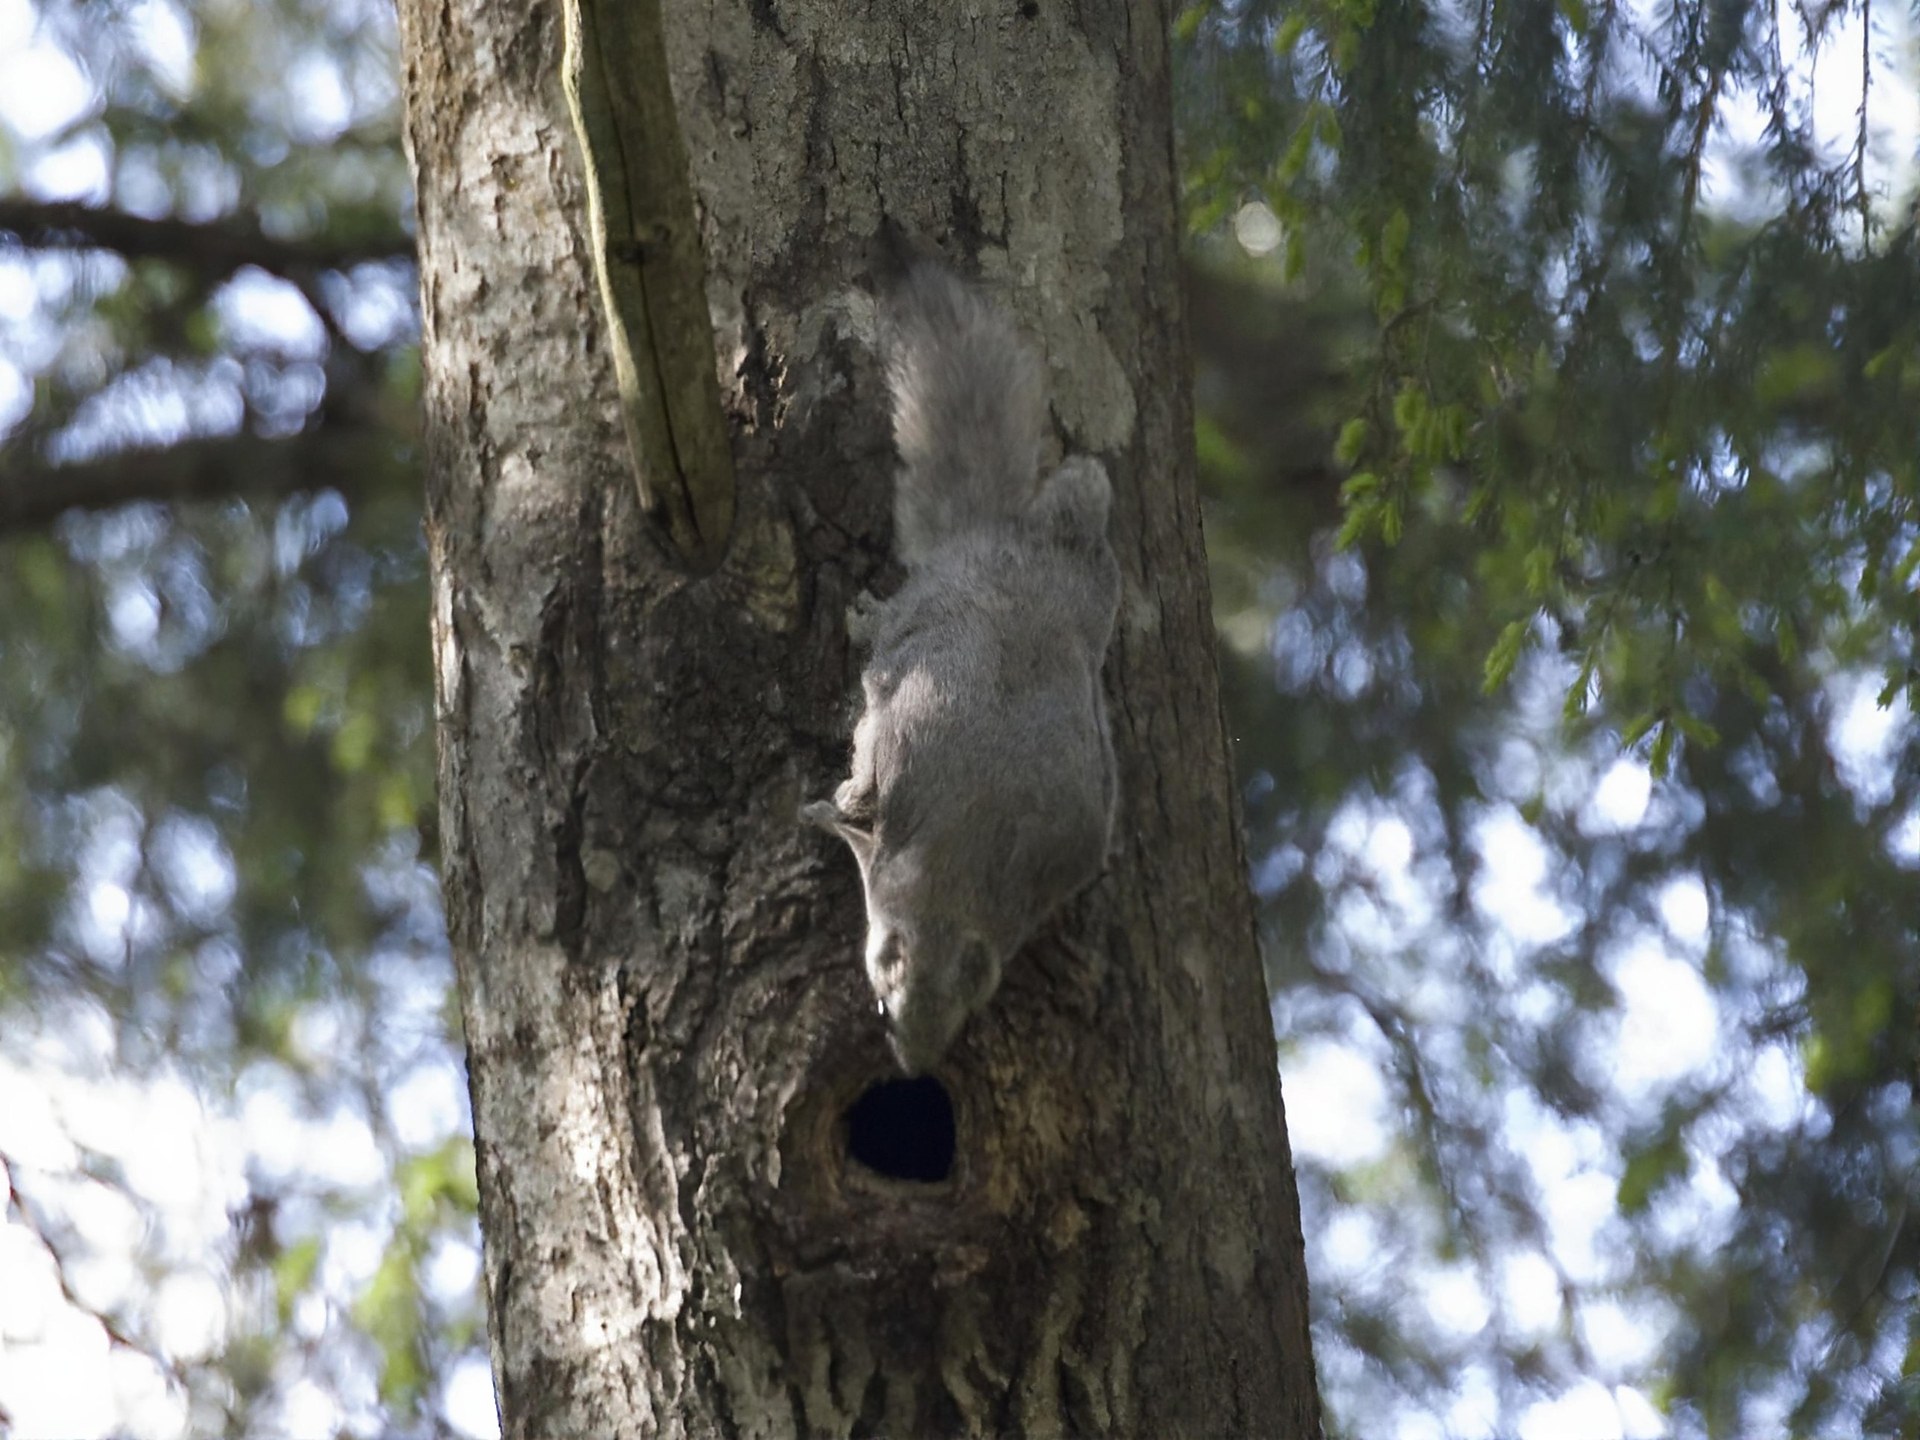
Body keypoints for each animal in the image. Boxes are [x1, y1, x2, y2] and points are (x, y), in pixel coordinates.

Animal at [805, 264, 1121, 1074]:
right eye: (884, 993)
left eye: (971, 1005)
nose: (916, 1063)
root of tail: (996, 543)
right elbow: (860, 804)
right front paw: (829, 810)